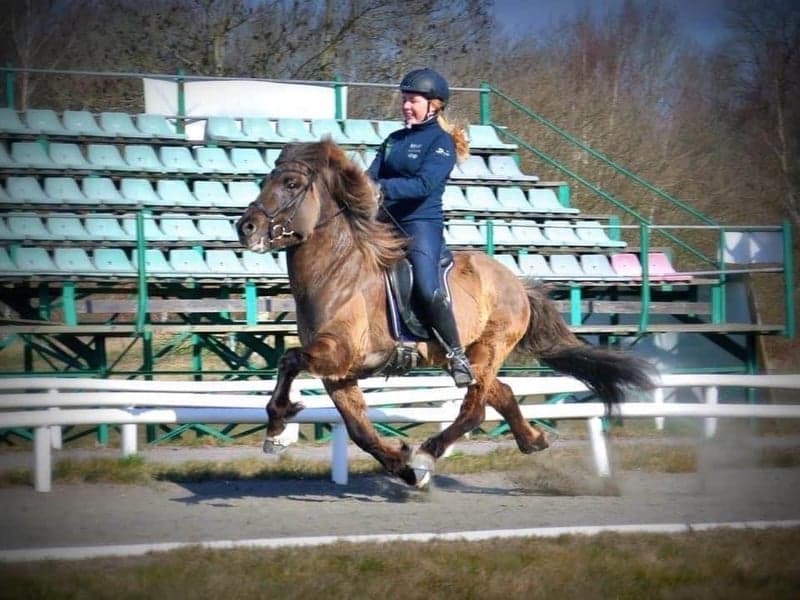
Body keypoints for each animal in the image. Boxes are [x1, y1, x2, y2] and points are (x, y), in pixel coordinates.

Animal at [234, 139, 652, 488]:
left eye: (290, 183)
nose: (246, 227)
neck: (336, 271)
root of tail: (516, 283)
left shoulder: (338, 352)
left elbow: (289, 359)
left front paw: (277, 427)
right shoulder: (340, 372)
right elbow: (359, 431)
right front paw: (401, 467)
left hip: (489, 347)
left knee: (475, 411)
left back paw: (428, 454)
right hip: (475, 355)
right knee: (500, 393)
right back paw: (532, 440)